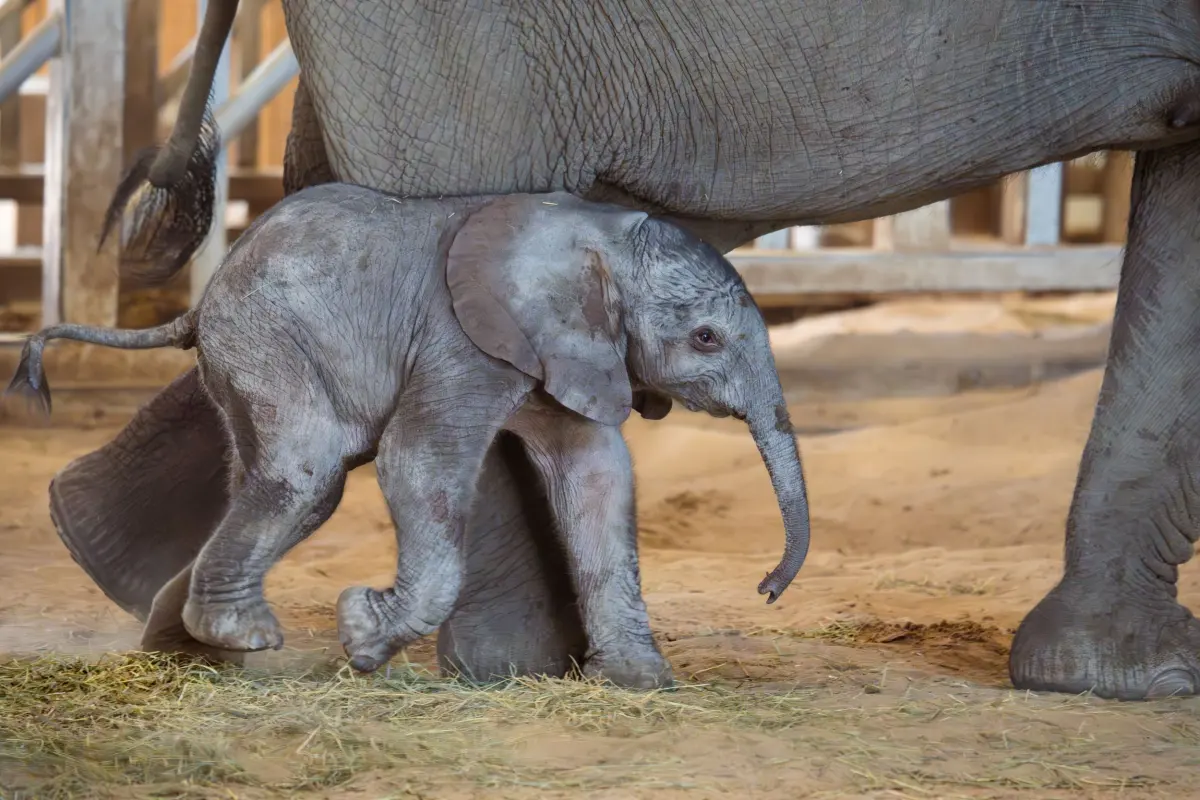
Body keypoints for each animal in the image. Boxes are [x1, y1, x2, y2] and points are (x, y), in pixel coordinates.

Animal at [11, 184, 811, 688]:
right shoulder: (463, 340)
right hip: (265, 338)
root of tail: (203, 298)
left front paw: (642, 683)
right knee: (310, 472)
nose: (767, 590)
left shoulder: (563, 348)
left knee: (273, 480)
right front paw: (361, 635)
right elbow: (419, 463)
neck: (600, 234)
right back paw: (242, 637)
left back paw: (197, 650)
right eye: (706, 338)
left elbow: (597, 478)